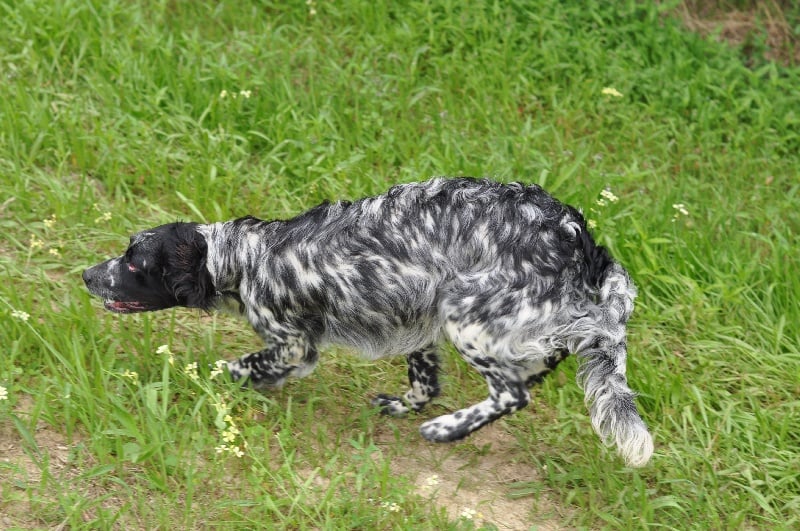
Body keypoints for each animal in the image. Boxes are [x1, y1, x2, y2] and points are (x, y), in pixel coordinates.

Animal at [84, 178, 652, 466]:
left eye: (134, 263)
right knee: (531, 372)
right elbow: (424, 383)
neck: (246, 258)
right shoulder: (420, 326)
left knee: (512, 393)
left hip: (465, 315)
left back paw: (446, 430)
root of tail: (581, 241)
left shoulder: (294, 345)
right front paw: (399, 404)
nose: (88, 276)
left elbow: (239, 366)